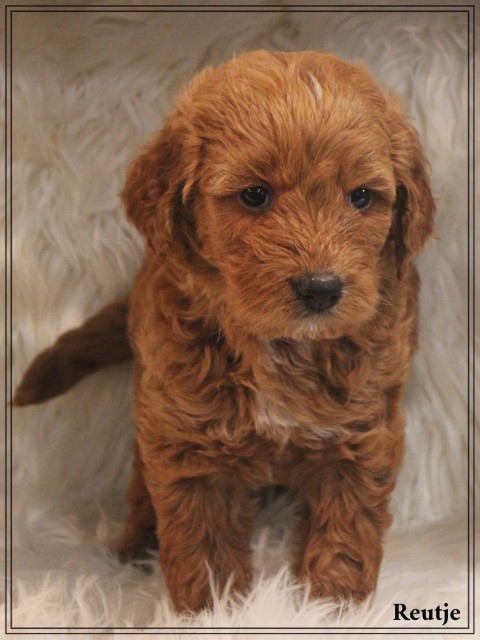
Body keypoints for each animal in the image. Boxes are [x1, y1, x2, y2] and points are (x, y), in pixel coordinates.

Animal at [15, 50, 436, 608]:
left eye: (362, 197)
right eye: (254, 195)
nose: (321, 289)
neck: (281, 345)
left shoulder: (364, 426)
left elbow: (348, 525)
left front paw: (333, 604)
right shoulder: (192, 435)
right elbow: (205, 537)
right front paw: (216, 607)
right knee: (142, 474)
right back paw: (139, 541)